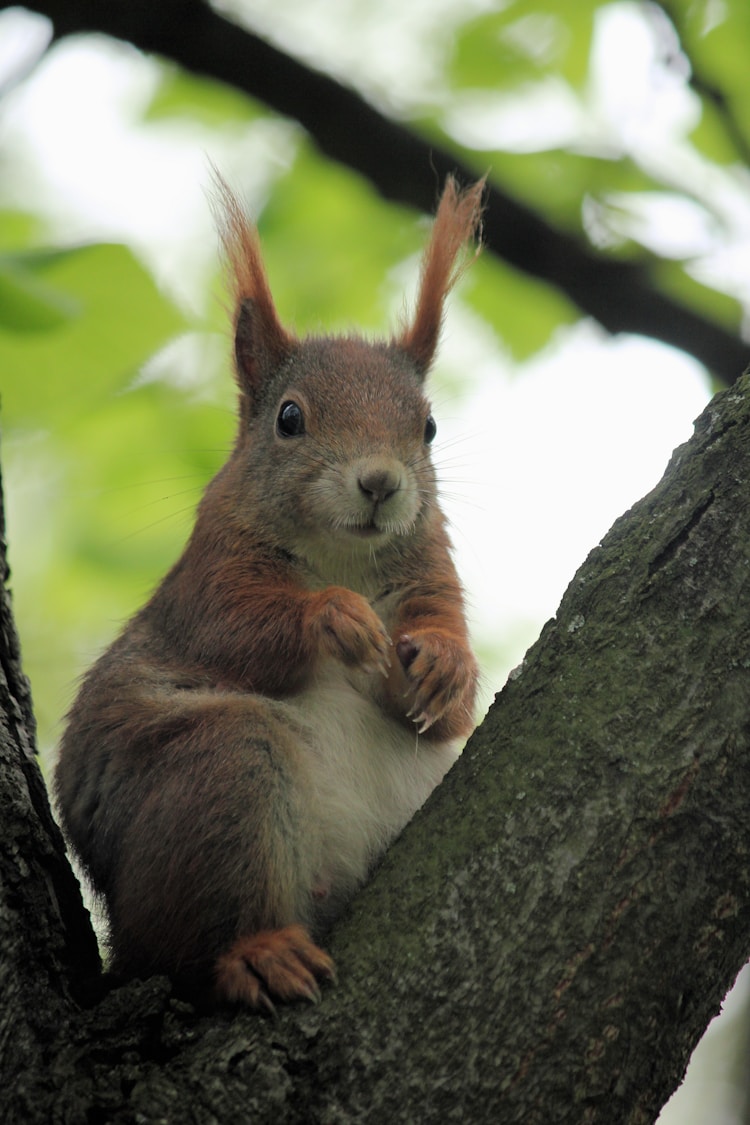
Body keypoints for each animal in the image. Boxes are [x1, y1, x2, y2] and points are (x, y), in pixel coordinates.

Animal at [55, 173, 483, 1012]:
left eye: (428, 427)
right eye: (289, 418)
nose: (380, 483)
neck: (342, 554)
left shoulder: (434, 575)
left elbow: (449, 706)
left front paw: (445, 667)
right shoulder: (208, 577)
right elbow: (239, 632)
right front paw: (335, 617)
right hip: (222, 776)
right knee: (197, 941)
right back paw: (257, 953)